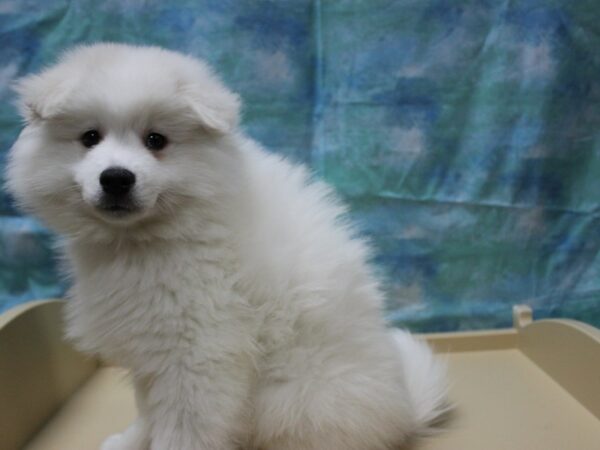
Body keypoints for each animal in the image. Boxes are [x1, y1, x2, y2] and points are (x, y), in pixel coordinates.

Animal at [4, 43, 446, 450]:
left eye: (156, 140)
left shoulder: (198, 352)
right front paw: (131, 441)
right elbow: (149, 410)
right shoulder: (151, 347)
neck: (149, 238)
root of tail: (403, 411)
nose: (116, 177)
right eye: (90, 138)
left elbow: (182, 428)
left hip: (296, 397)